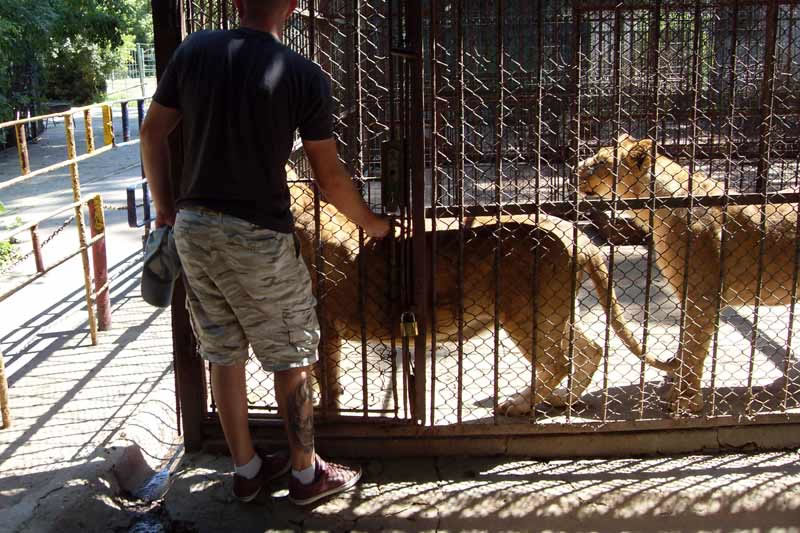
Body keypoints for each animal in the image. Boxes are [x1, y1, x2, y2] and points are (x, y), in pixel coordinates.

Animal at [288, 176, 676, 416]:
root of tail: (577, 234)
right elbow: (321, 376)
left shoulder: (321, 324)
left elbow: (324, 378)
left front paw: (326, 413)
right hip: (556, 310)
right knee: (590, 349)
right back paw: (562, 399)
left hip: (526, 312)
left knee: (559, 361)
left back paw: (520, 404)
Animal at [580, 133, 796, 412]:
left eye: (601, 162)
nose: (576, 169)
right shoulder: (686, 293)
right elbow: (686, 341)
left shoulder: (702, 296)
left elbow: (695, 347)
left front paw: (686, 400)